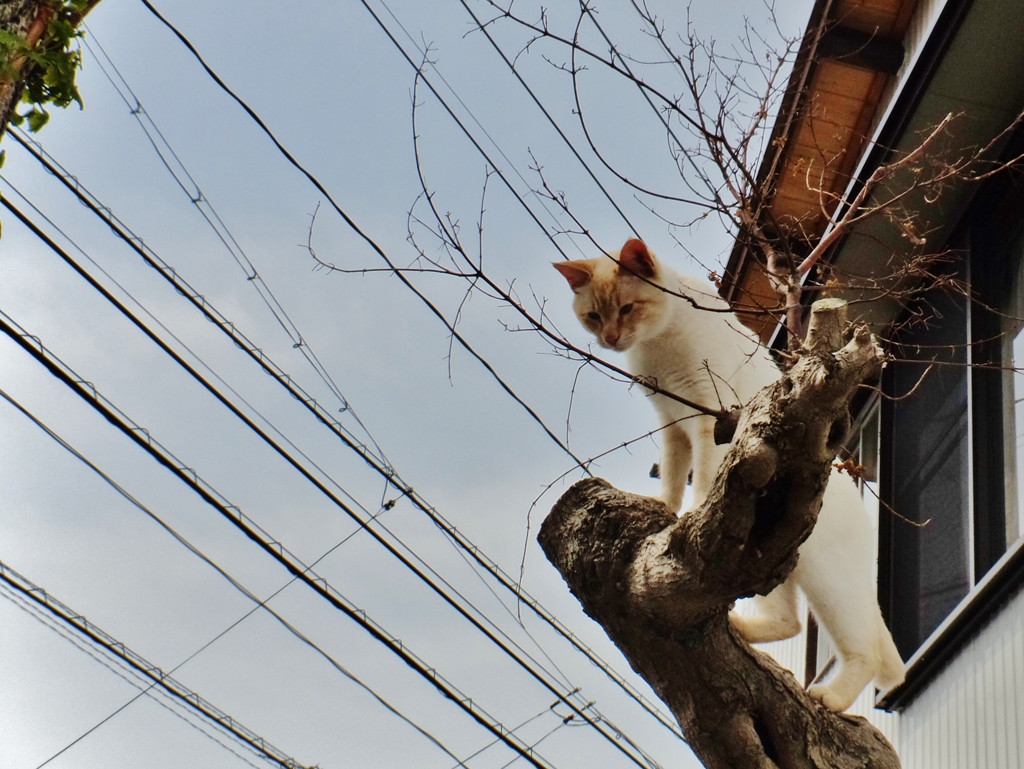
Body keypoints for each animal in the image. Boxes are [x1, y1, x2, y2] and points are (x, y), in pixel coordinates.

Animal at [552, 237, 905, 712]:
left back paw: (831, 696)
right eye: (593, 316)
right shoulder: (672, 420)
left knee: (863, 649)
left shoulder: (708, 418)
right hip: (771, 559)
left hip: (828, 580)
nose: (610, 338)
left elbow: (702, 478)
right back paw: (741, 627)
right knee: (789, 621)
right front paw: (664, 506)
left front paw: (693, 511)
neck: (657, 344)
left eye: (626, 309)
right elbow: (672, 474)